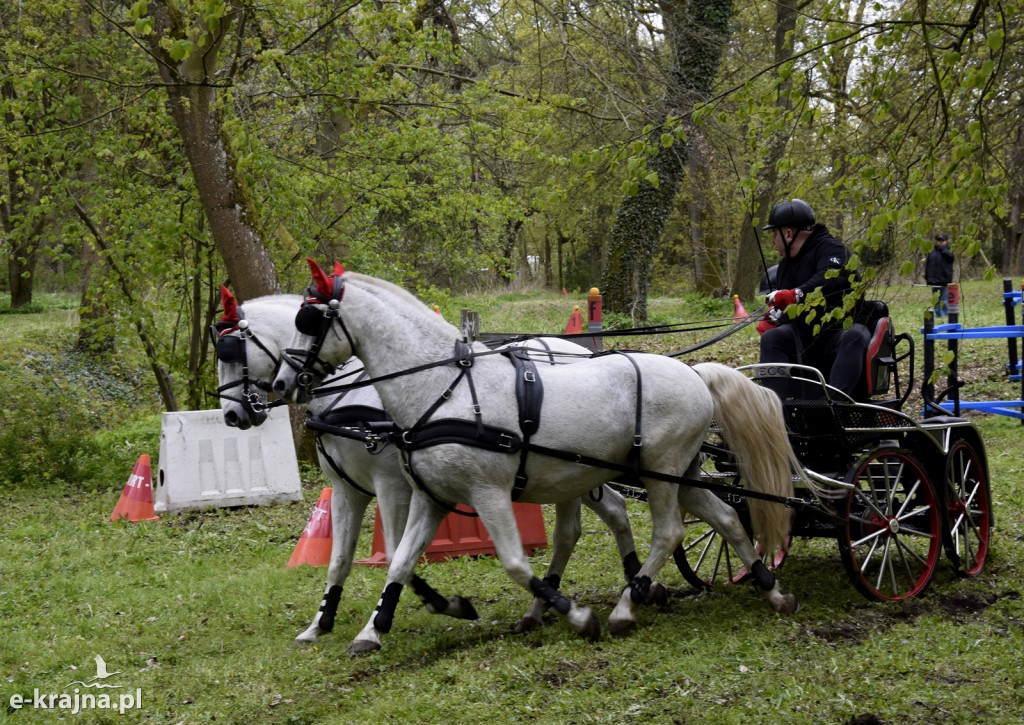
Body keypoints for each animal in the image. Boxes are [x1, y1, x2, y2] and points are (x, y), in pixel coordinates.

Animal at [274, 259, 806, 651]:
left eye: (308, 319)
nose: (281, 383)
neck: (444, 388)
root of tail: (695, 372)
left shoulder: (487, 492)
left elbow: (514, 563)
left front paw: (578, 616)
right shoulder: (433, 497)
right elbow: (400, 561)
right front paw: (376, 628)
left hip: (661, 473)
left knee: (670, 532)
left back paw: (625, 607)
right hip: (681, 473)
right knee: (726, 517)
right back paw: (772, 589)